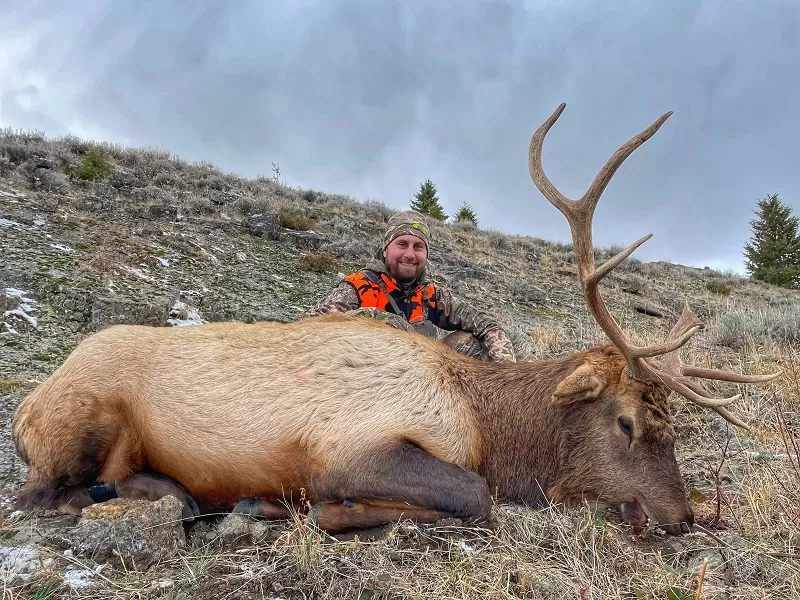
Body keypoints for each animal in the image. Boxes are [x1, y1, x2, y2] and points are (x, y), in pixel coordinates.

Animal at [9, 102, 780, 536]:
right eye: (625, 421)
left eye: (672, 422)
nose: (682, 519)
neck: (487, 425)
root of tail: (25, 408)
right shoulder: (352, 448)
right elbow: (474, 495)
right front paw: (313, 511)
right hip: (85, 417)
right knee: (37, 495)